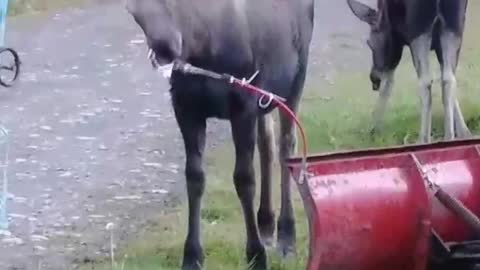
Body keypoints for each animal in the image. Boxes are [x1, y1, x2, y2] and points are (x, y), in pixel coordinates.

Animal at [125, 0, 316, 268]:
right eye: (131, 7)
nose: (165, 47)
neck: (202, 49)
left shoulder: (243, 105)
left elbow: (244, 179)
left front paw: (256, 255)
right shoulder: (185, 108)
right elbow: (194, 177)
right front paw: (192, 255)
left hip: (295, 78)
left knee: (287, 145)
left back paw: (287, 237)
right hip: (265, 98)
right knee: (267, 143)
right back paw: (266, 222)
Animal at [346, 0, 470, 143]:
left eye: (370, 43)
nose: (374, 79)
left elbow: (388, 84)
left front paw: (374, 128)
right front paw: (464, 132)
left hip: (417, 28)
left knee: (425, 82)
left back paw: (423, 139)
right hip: (454, 24)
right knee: (449, 79)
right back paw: (449, 137)